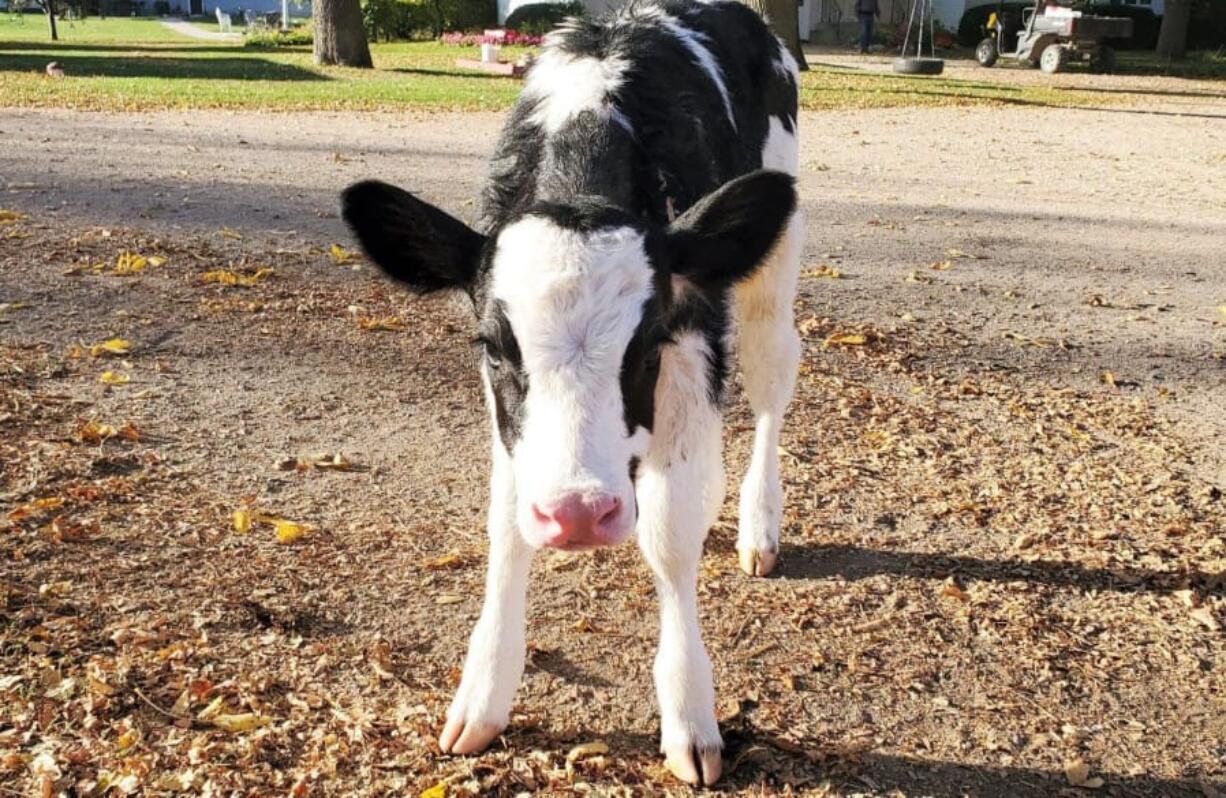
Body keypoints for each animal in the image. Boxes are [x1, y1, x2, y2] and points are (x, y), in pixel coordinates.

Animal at [345, 0, 804, 784]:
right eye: (494, 347)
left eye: (646, 346)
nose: (578, 515)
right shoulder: (506, 415)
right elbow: (506, 521)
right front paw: (484, 693)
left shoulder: (693, 339)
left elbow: (669, 531)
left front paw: (691, 714)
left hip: (773, 265)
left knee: (774, 382)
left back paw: (758, 527)